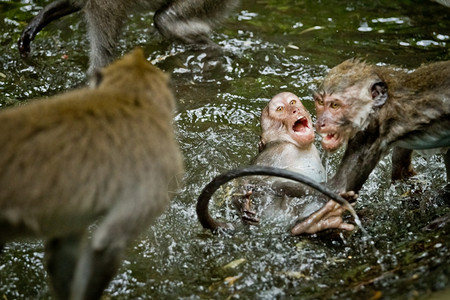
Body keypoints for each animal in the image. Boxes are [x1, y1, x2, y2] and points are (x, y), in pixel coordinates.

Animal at [195, 91, 356, 234]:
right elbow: (255, 181)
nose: (295, 110)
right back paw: (310, 224)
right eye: (280, 109)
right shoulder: (280, 152)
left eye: (292, 103)